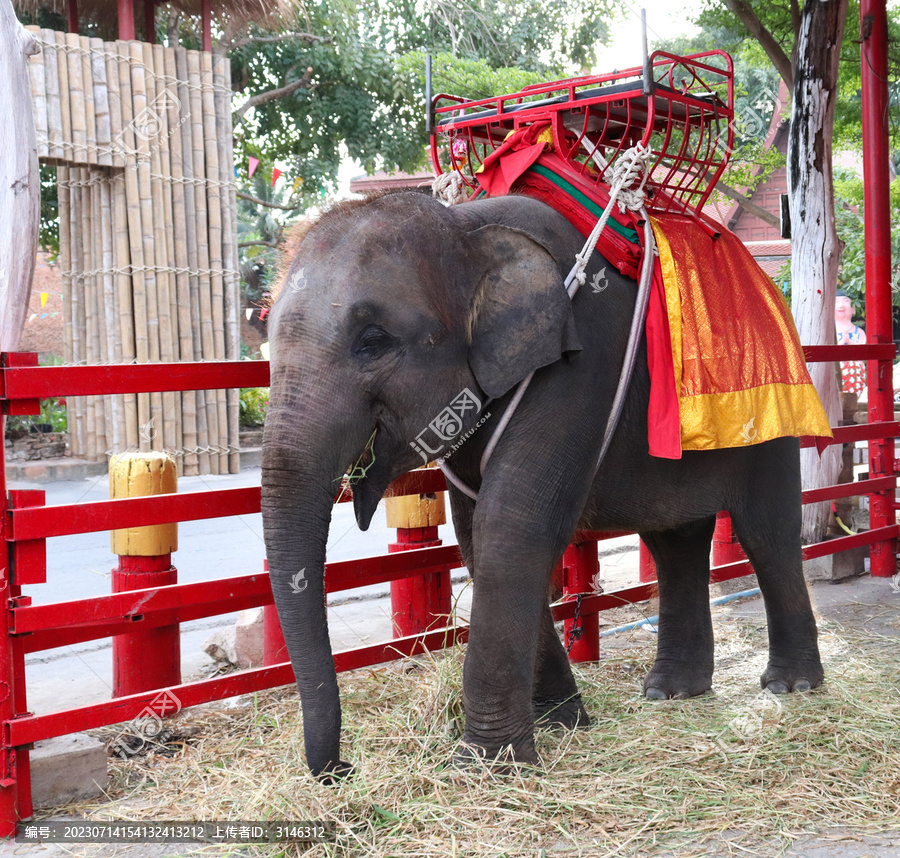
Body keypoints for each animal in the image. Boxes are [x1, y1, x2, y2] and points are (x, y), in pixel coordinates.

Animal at [260, 191, 824, 780]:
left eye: (372, 341)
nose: (343, 770)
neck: (467, 226)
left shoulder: (579, 369)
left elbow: (512, 525)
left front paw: (487, 766)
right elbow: (477, 534)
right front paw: (563, 722)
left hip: (775, 416)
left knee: (767, 534)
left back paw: (791, 684)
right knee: (675, 540)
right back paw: (670, 692)